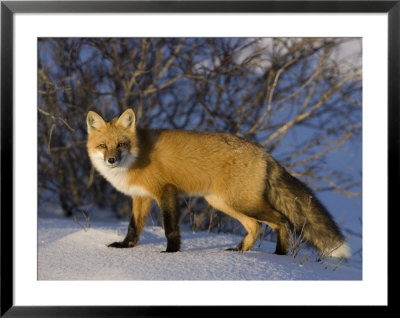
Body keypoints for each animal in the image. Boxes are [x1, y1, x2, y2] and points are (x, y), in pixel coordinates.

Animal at [86, 108, 350, 258]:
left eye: (121, 144)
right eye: (103, 145)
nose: (111, 160)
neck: (138, 155)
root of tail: (264, 152)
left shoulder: (165, 192)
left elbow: (170, 228)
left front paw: (171, 253)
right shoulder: (140, 197)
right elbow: (133, 227)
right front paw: (125, 247)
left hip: (241, 202)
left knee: (281, 221)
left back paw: (280, 256)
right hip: (223, 203)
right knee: (256, 226)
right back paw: (240, 252)